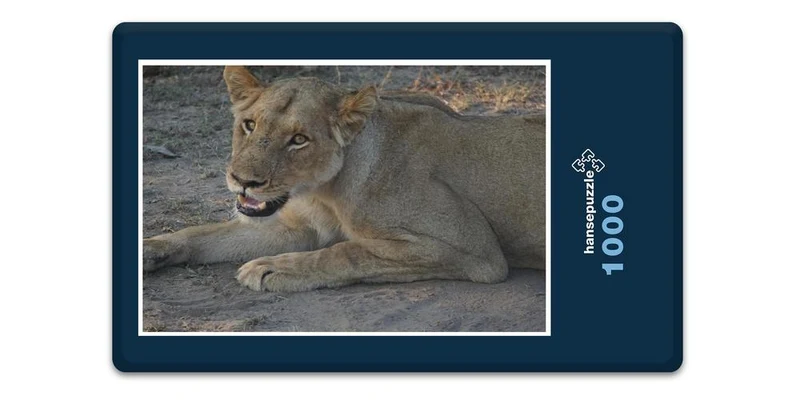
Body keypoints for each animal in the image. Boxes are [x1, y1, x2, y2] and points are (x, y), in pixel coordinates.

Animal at [143, 66, 546, 293]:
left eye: (299, 139)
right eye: (249, 125)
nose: (243, 181)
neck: (321, 192)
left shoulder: (475, 249)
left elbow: (346, 251)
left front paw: (272, 267)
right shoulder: (298, 227)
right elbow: (204, 233)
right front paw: (151, 248)